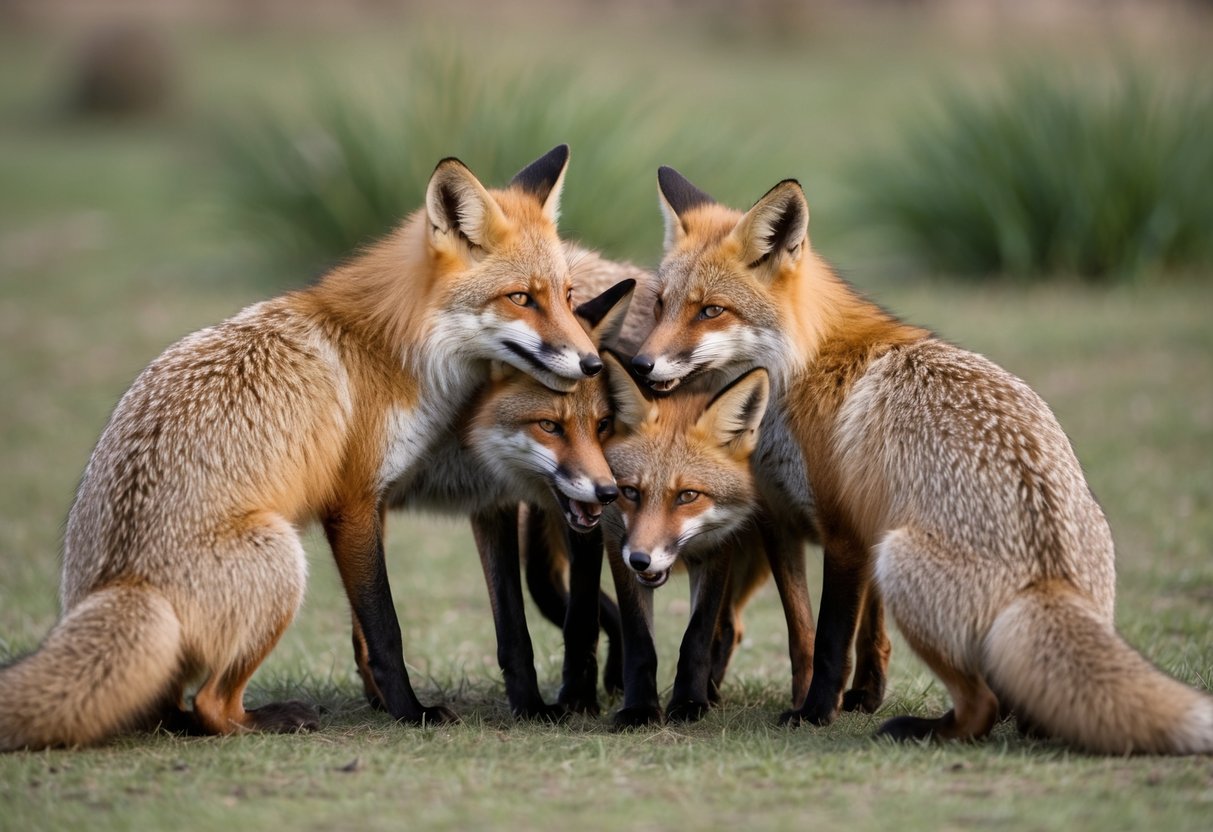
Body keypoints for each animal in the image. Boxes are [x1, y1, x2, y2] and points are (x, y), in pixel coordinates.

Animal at [0, 145, 605, 750]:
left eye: (568, 295)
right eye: (521, 298)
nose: (594, 362)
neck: (393, 350)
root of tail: (126, 579)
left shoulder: (375, 503)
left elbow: (362, 634)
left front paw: (384, 704)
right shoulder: (353, 501)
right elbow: (385, 629)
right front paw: (411, 712)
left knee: (172, 708)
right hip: (284, 559)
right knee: (211, 705)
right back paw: (275, 719)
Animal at [629, 165, 1213, 754]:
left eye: (710, 311)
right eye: (659, 305)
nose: (638, 365)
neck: (798, 368)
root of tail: (1048, 573)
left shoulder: (844, 533)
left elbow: (830, 640)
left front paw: (816, 712)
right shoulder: (788, 521)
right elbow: (814, 635)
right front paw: (830, 700)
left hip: (897, 558)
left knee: (983, 705)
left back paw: (919, 729)